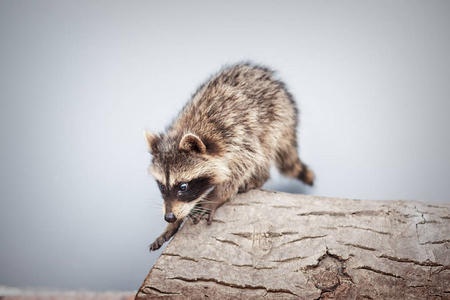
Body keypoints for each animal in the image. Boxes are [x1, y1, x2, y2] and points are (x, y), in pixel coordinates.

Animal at [144, 62, 312, 251]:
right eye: (162, 186)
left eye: (183, 187)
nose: (169, 217)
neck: (190, 128)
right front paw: (173, 223)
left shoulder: (239, 137)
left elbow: (242, 166)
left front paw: (216, 196)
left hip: (277, 119)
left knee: (265, 150)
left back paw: (259, 177)